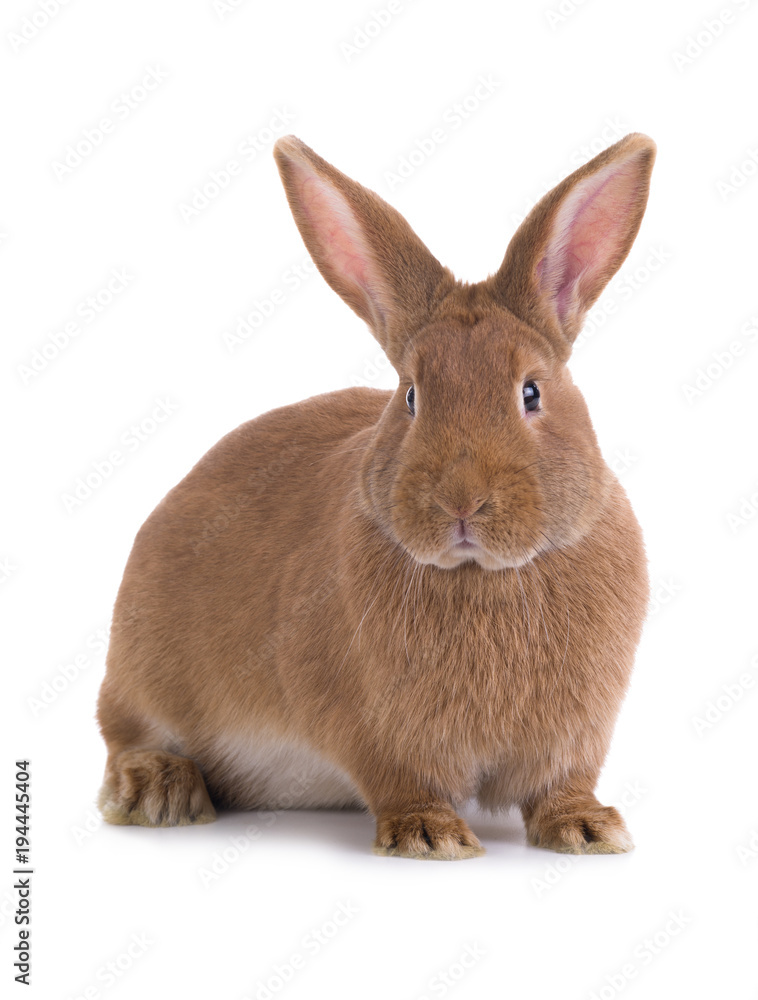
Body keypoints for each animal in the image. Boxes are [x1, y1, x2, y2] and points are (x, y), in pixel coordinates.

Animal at [96, 131, 655, 860]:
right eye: (411, 396)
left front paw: (589, 829)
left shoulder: (573, 737)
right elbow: (400, 781)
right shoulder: (369, 728)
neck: (483, 575)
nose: (461, 503)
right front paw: (430, 836)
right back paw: (159, 792)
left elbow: (561, 784)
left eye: (531, 392)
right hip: (144, 670)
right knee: (121, 733)